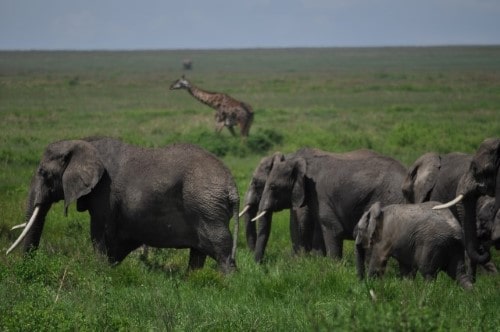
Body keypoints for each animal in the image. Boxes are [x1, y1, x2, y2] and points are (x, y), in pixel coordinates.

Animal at [6, 137, 241, 272]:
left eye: (43, 173)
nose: (26, 266)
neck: (82, 143)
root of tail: (231, 186)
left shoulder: (104, 193)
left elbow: (100, 233)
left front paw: (101, 273)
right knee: (199, 252)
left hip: (206, 206)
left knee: (220, 248)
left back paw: (225, 283)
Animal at [254, 149, 406, 260]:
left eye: (273, 187)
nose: (260, 265)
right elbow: (319, 230)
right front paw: (318, 263)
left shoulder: (320, 194)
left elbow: (333, 229)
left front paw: (334, 268)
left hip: (389, 198)